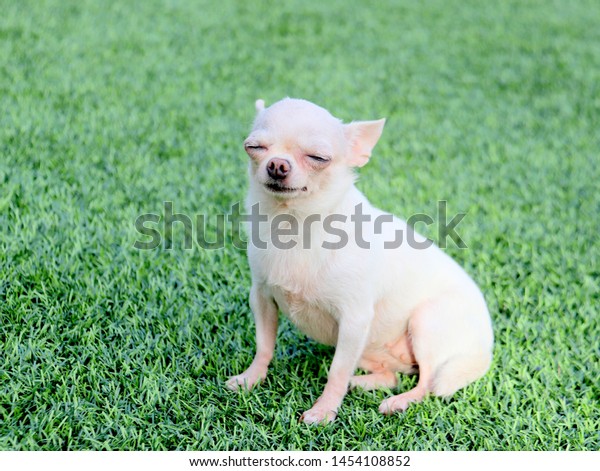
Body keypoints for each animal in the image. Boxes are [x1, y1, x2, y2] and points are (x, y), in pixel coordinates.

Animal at [227, 97, 494, 426]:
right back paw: (362, 383)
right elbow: (263, 346)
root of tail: (485, 349)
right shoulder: (262, 297)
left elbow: (336, 371)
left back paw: (398, 402)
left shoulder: (353, 321)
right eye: (254, 147)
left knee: (427, 382)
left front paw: (324, 411)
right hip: (369, 346)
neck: (295, 226)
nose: (277, 165)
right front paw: (251, 379)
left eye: (318, 157)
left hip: (425, 322)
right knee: (392, 376)